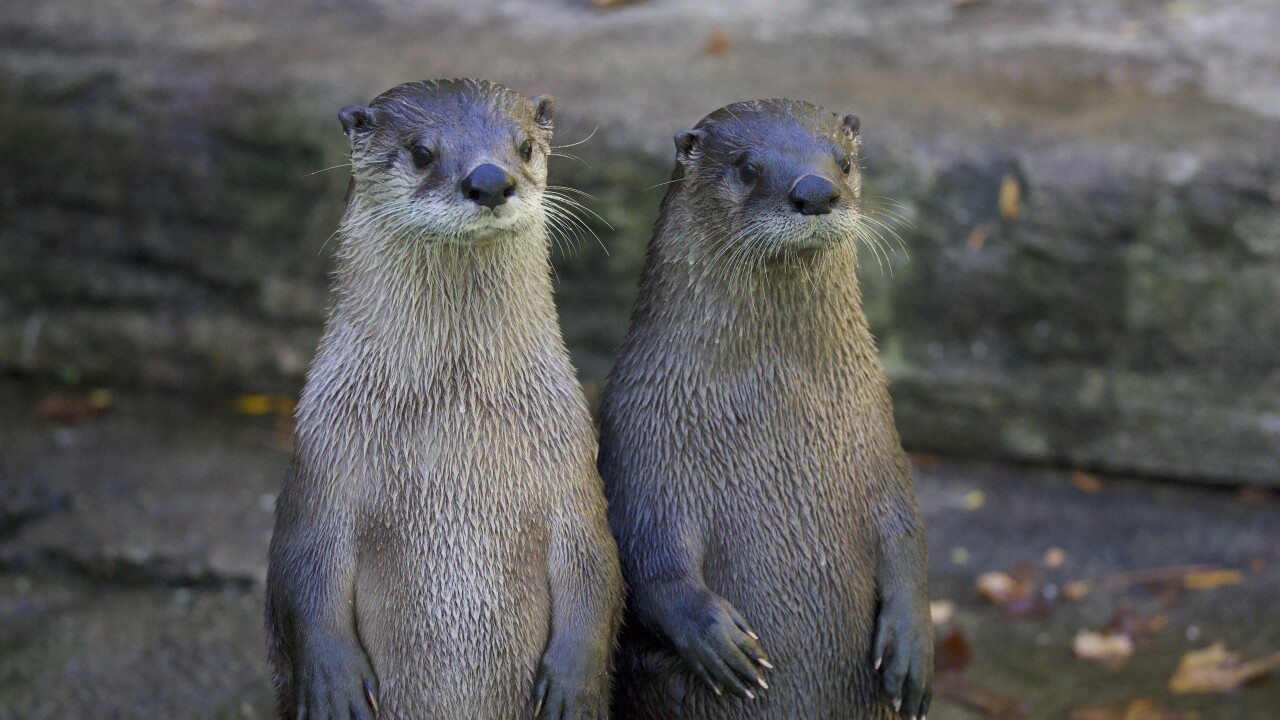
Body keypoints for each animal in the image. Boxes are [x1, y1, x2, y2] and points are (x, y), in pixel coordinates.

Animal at [265, 79, 623, 720]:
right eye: (421, 152)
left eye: (524, 146)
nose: (491, 180)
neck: (452, 415)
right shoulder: (322, 462)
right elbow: (302, 570)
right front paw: (333, 684)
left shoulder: (571, 469)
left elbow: (597, 566)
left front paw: (574, 684)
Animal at [598, 100, 933, 720]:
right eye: (748, 168)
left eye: (843, 161)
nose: (816, 190)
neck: (777, 409)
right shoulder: (638, 436)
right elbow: (645, 553)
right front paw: (715, 637)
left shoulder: (879, 437)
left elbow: (906, 534)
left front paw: (913, 643)